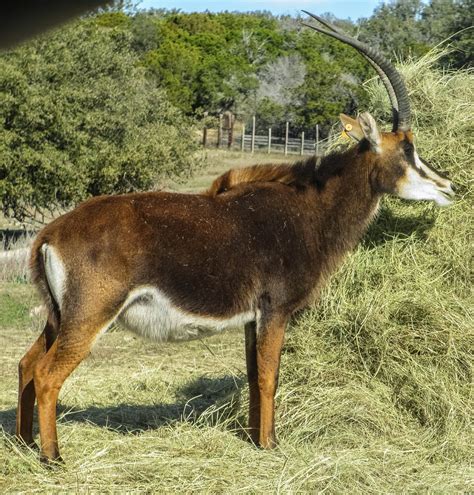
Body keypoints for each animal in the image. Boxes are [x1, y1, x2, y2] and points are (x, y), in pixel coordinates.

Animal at [15, 15, 456, 464]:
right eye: (407, 151)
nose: (449, 186)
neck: (309, 207)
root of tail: (51, 233)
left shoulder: (251, 318)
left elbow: (252, 373)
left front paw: (253, 438)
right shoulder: (275, 310)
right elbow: (268, 377)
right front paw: (271, 445)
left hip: (58, 316)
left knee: (26, 365)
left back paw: (24, 443)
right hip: (90, 314)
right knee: (47, 373)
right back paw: (52, 457)